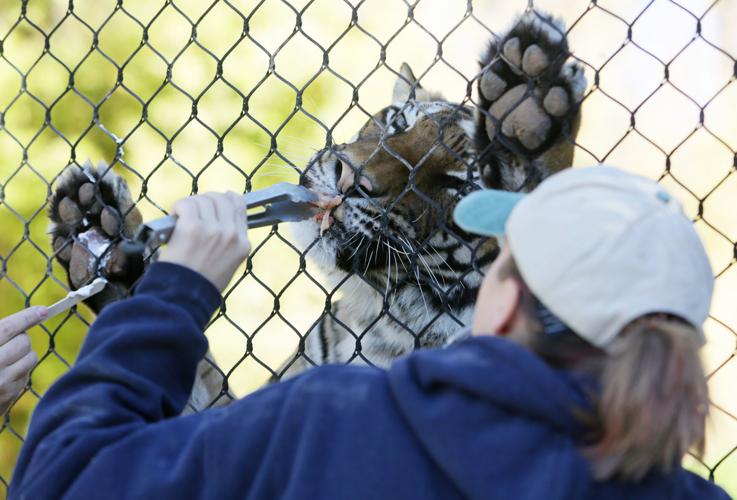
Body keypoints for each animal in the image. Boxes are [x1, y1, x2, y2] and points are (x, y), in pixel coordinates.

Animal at [48, 11, 585, 410]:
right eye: (396, 122)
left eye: (456, 184)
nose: (348, 179)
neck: (389, 323)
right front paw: (98, 228)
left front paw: (530, 111)